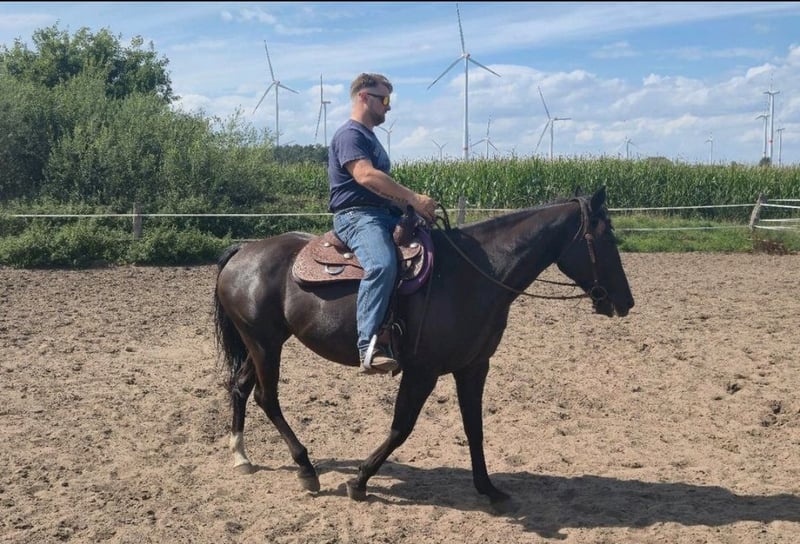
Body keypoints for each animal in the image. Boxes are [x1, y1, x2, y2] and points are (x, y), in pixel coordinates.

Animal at [213, 186, 634, 512]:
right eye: (607, 239)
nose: (625, 302)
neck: (477, 273)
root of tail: (243, 251)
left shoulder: (474, 366)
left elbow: (475, 427)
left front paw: (489, 488)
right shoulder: (422, 370)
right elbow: (401, 427)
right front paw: (360, 481)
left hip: (262, 343)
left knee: (241, 387)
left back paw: (241, 456)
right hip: (265, 344)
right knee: (267, 397)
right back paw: (305, 468)